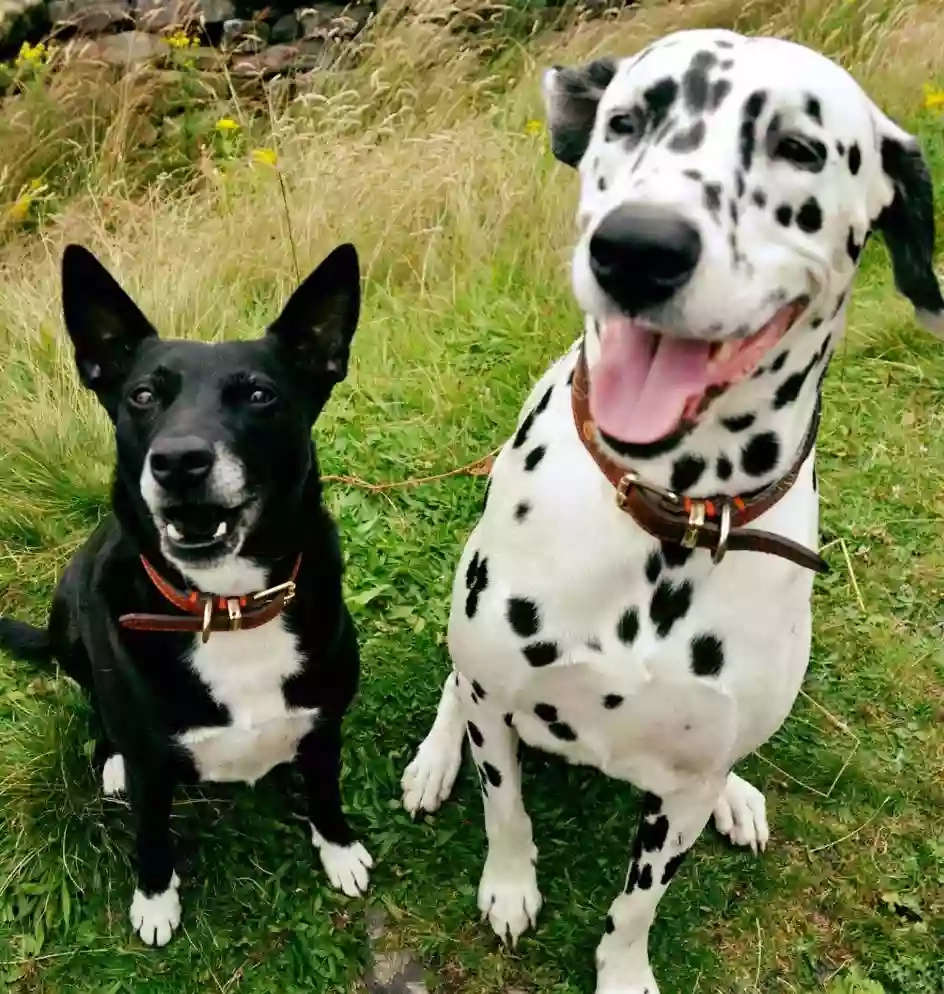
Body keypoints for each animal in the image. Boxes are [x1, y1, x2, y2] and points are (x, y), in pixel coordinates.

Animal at [0, 240, 376, 944]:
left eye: (259, 394)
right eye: (144, 395)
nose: (178, 462)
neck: (226, 609)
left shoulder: (324, 726)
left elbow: (326, 790)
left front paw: (338, 848)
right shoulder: (153, 767)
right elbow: (151, 834)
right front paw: (155, 901)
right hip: (69, 616)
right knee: (93, 699)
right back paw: (109, 761)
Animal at [400, 23, 944, 992]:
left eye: (799, 147)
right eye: (626, 121)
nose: (638, 249)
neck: (671, 515)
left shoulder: (681, 791)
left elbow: (638, 903)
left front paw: (624, 970)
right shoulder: (499, 704)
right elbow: (506, 812)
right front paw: (509, 887)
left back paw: (740, 795)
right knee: (452, 693)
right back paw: (432, 761)